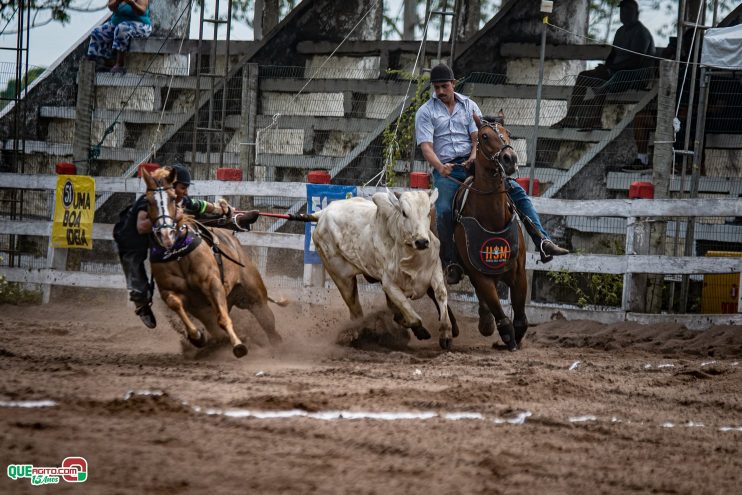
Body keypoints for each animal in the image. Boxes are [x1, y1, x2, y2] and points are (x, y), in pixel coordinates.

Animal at [141, 169, 284, 358]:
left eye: (172, 197)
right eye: (148, 201)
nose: (165, 234)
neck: (178, 254)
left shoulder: (212, 283)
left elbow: (223, 319)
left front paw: (238, 345)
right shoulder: (169, 292)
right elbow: (176, 304)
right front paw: (197, 337)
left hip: (256, 300)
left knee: (270, 329)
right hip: (214, 307)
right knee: (216, 329)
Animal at [310, 190, 460, 348]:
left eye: (428, 212)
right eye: (404, 213)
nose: (421, 242)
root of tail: (323, 213)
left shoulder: (434, 268)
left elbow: (441, 294)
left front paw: (446, 333)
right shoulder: (389, 284)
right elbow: (412, 316)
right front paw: (418, 330)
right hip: (342, 278)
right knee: (356, 312)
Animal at [454, 114, 528, 350]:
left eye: (508, 132)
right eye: (484, 136)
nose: (509, 158)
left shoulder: (519, 271)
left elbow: (519, 314)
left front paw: (517, 334)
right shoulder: (479, 273)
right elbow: (498, 309)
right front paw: (507, 336)